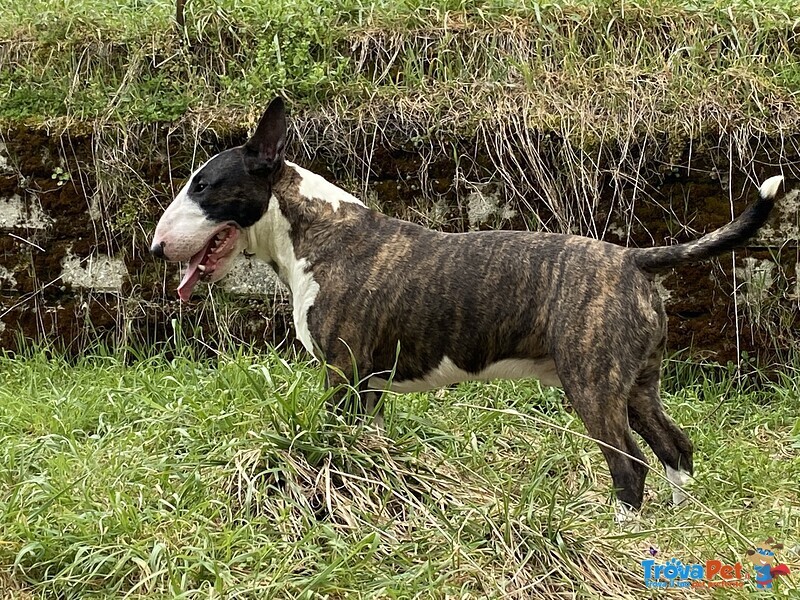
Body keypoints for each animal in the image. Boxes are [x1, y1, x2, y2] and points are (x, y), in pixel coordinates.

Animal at [148, 98, 780, 516]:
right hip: (637, 383)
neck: (315, 231)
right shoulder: (369, 385)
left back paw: (621, 533)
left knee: (630, 465)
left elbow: (331, 445)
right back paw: (674, 527)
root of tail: (632, 259)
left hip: (592, 383)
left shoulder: (342, 373)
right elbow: (369, 447)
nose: (154, 248)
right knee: (676, 447)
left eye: (203, 186)